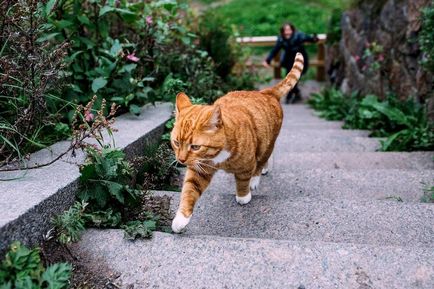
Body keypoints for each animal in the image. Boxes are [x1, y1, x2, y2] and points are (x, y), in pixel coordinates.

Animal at [171, 52, 304, 232]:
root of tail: (265, 92)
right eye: (176, 143)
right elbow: (189, 191)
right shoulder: (199, 170)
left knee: (262, 159)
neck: (217, 156)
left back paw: (256, 178)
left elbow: (242, 181)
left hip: (267, 142)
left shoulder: (246, 166)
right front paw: (181, 219)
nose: (181, 160)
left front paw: (243, 196)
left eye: (195, 147)